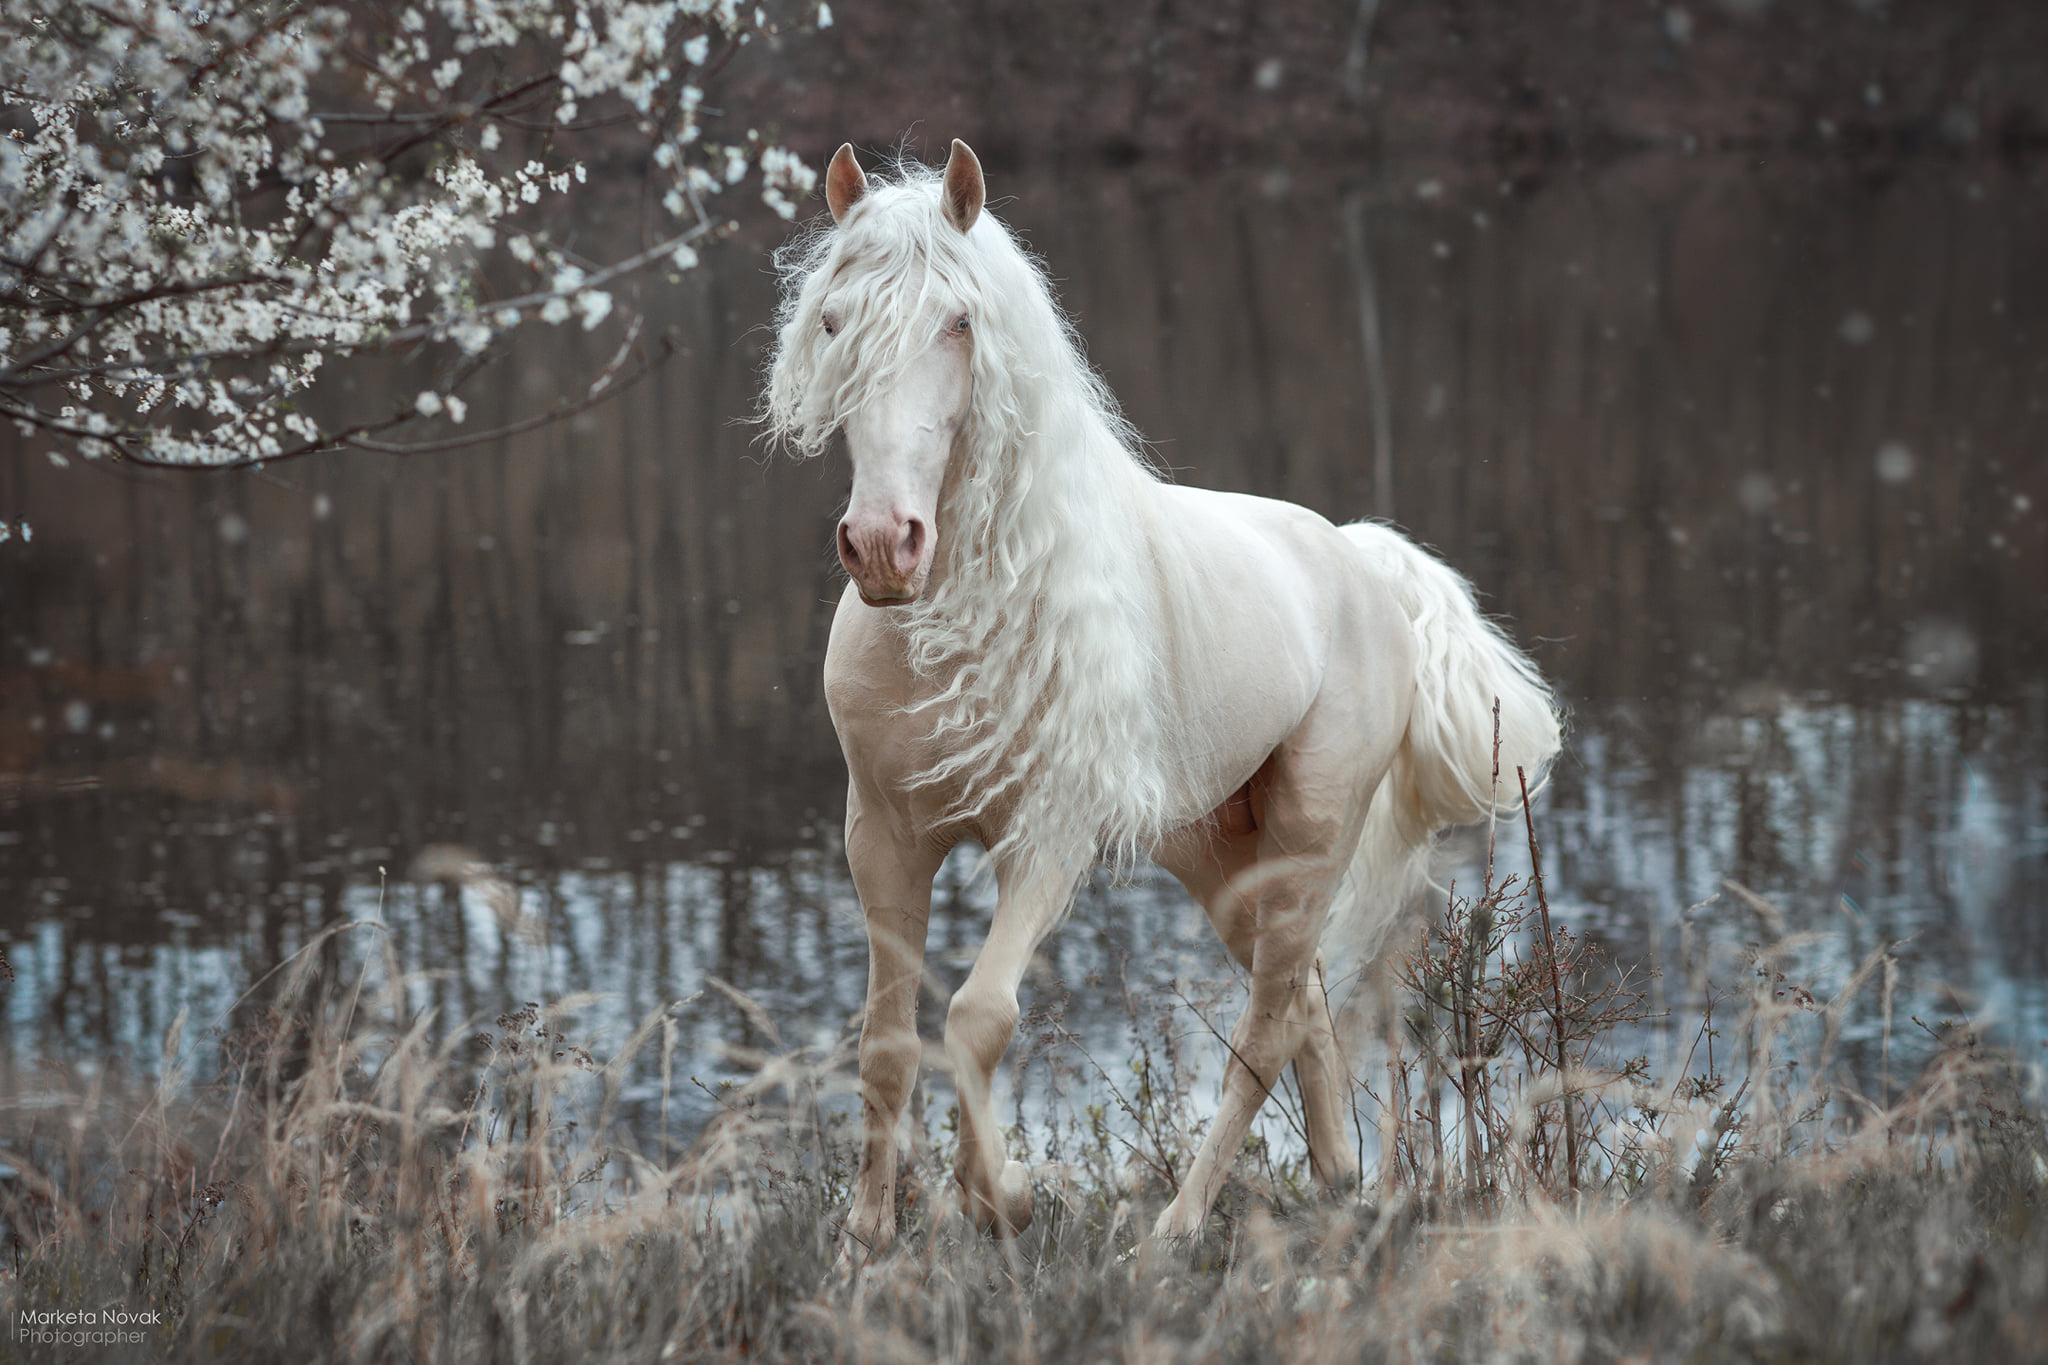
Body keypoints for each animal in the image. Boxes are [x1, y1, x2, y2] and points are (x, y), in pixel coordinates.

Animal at [761, 144, 1556, 1252]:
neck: (960, 623)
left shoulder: (1047, 839)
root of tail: (1363, 563)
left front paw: (1001, 1198)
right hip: (1220, 856)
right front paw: (867, 1237)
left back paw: (1174, 1231)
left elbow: (977, 1017)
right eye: (832, 322)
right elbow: (886, 1042)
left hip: (1309, 837)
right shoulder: (883, 836)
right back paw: (1336, 1183)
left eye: (959, 323)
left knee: (1264, 1028)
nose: (883, 545)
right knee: (1302, 1004)